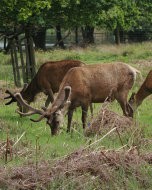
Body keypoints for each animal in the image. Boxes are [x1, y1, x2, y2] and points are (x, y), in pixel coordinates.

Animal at [11, 62, 140, 135]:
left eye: (57, 121)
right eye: (48, 123)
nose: (54, 134)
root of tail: (134, 70)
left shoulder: (86, 100)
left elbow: (83, 118)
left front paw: (84, 131)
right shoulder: (72, 104)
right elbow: (69, 117)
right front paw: (68, 131)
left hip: (122, 91)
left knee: (126, 111)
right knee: (131, 109)